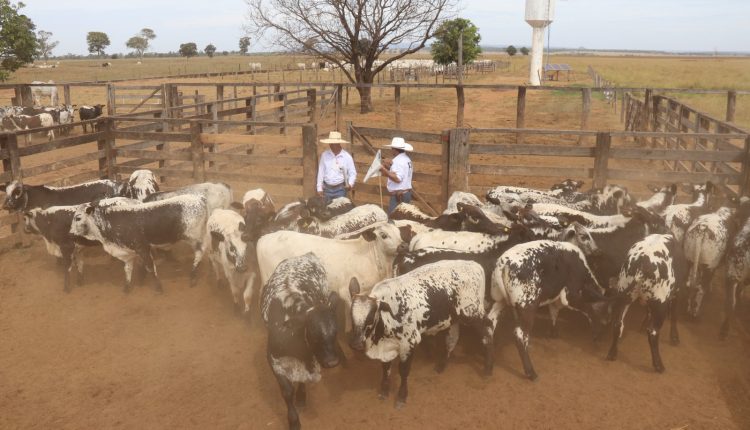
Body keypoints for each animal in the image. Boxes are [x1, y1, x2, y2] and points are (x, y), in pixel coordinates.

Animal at [69, 195, 209, 292]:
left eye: (78, 217)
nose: (70, 234)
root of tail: (200, 198)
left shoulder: (142, 248)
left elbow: (150, 267)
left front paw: (158, 287)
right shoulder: (128, 252)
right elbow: (128, 269)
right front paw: (128, 287)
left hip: (193, 237)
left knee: (200, 252)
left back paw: (193, 276)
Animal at [262, 252, 344, 430]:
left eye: (335, 332)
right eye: (313, 334)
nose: (333, 362)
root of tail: (305, 255)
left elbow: (302, 381)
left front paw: (300, 398)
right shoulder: (273, 360)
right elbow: (287, 391)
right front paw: (293, 420)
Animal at [352, 260, 496, 408]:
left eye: (370, 317)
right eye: (352, 316)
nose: (356, 344)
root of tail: (474, 264)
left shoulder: (409, 342)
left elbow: (403, 370)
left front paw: (402, 396)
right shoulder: (387, 348)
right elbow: (386, 368)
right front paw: (384, 391)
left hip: (471, 313)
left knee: (488, 329)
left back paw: (488, 368)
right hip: (455, 318)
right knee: (452, 338)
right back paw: (441, 365)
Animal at [490, 240, 612, 382]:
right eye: (605, 308)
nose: (608, 321)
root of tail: (504, 262)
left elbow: (554, 312)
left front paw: (553, 333)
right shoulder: (570, 296)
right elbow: (588, 310)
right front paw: (596, 333)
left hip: (500, 301)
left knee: (490, 322)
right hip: (528, 306)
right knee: (520, 335)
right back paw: (531, 373)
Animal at [608, 235, 692, 372]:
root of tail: (642, 262)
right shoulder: (676, 293)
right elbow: (674, 315)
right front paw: (674, 337)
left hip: (623, 296)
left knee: (617, 324)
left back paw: (612, 353)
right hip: (660, 305)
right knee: (653, 332)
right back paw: (659, 365)